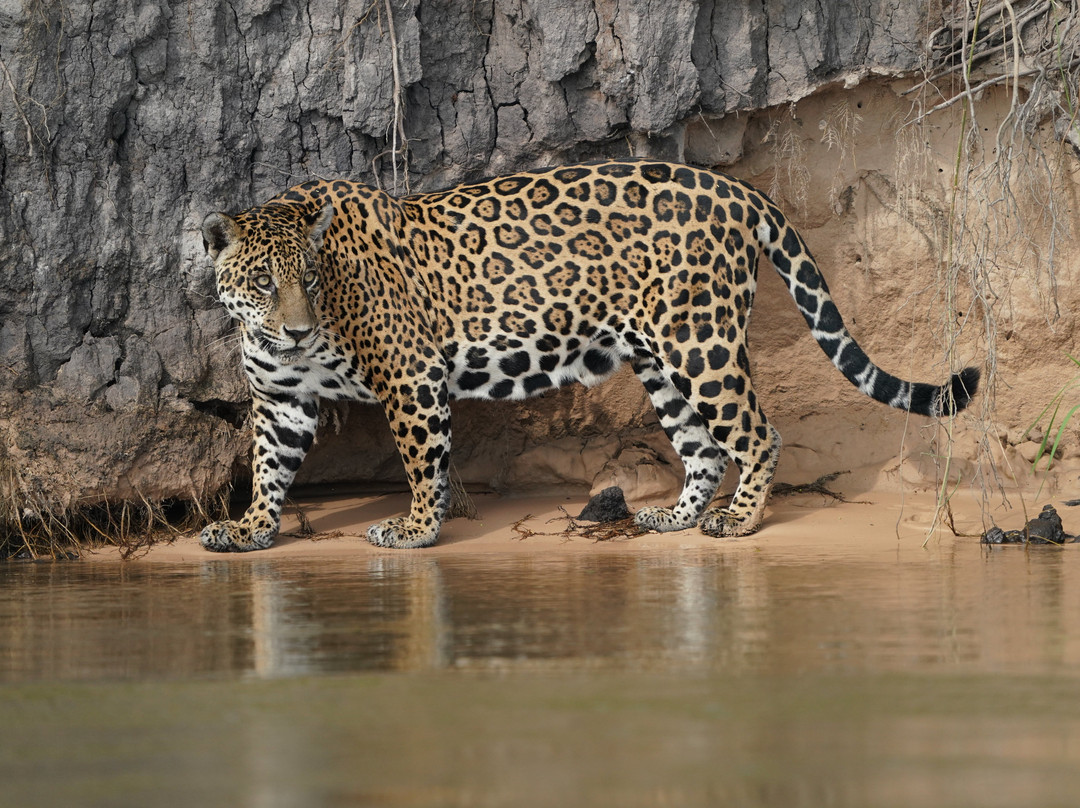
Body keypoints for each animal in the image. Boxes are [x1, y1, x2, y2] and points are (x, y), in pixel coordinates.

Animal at [198, 159, 979, 552]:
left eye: (310, 279)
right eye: (265, 283)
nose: (297, 332)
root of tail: (736, 187)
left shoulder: (410, 376)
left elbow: (422, 461)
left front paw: (416, 528)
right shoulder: (282, 400)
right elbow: (269, 467)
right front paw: (250, 529)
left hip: (702, 341)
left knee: (758, 434)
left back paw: (738, 520)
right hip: (661, 356)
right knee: (703, 445)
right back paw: (675, 518)